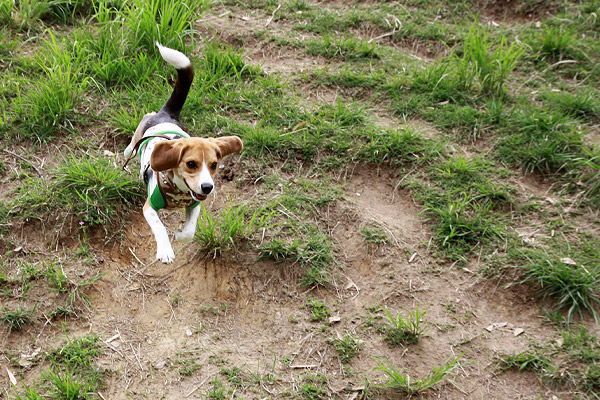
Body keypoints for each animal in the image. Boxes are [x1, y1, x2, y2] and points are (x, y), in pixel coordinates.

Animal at [124, 43, 244, 264]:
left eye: (214, 165)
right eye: (191, 164)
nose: (207, 187)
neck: (179, 191)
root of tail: (167, 113)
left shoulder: (195, 204)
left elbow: (190, 229)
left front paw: (181, 235)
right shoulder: (149, 207)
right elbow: (160, 227)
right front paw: (165, 250)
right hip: (138, 133)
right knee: (131, 145)